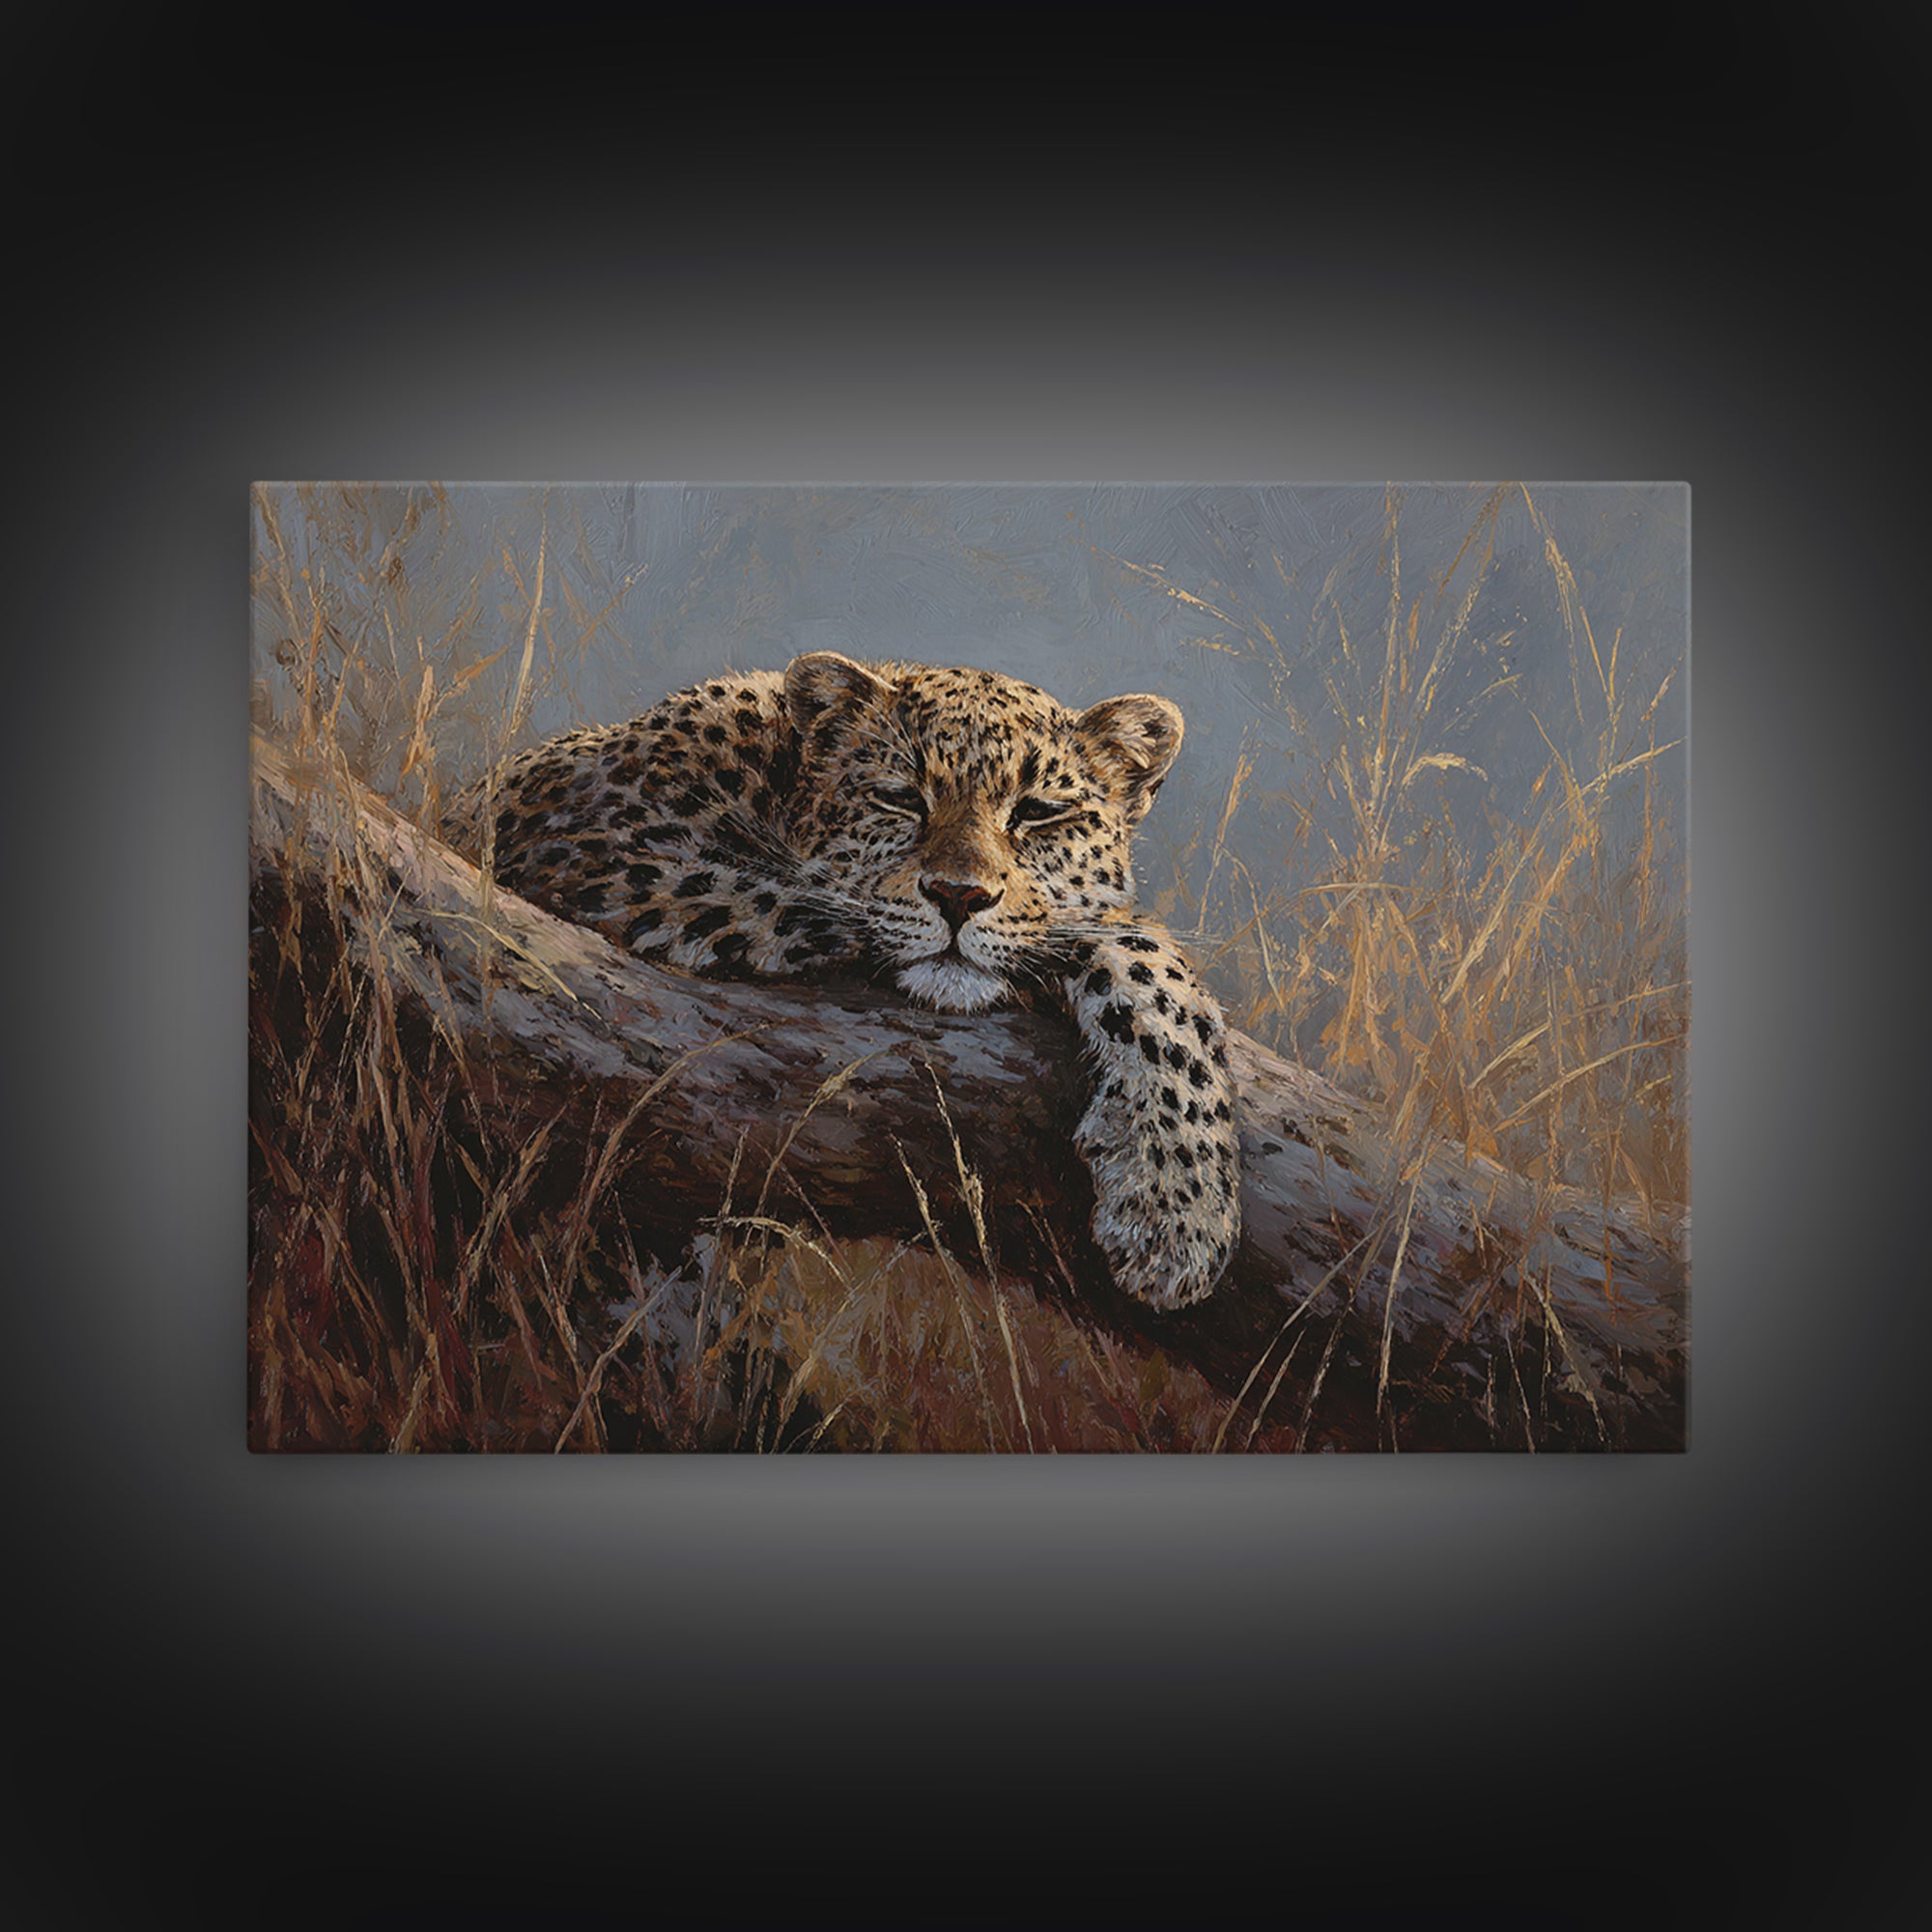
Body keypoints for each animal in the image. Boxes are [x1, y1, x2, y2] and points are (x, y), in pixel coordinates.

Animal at [447, 651, 1241, 1310]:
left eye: (1039, 813)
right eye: (900, 798)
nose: (960, 895)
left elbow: (1148, 970)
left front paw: (1180, 1209)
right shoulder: (602, 852)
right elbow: (830, 907)